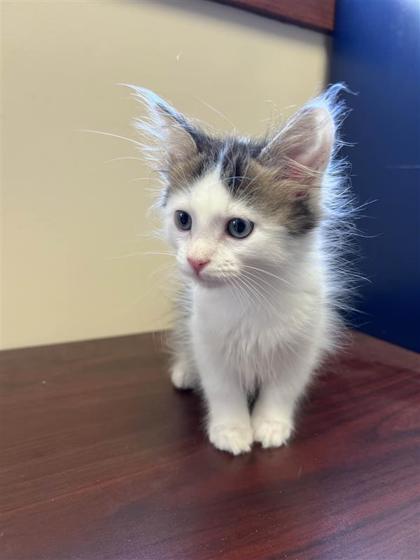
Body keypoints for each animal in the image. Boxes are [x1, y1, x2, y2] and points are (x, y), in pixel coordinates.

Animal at [131, 84, 352, 456]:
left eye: (238, 228)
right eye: (183, 220)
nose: (196, 261)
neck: (252, 291)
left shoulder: (303, 341)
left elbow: (283, 388)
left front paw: (271, 425)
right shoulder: (207, 338)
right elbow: (223, 389)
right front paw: (231, 431)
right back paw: (185, 371)